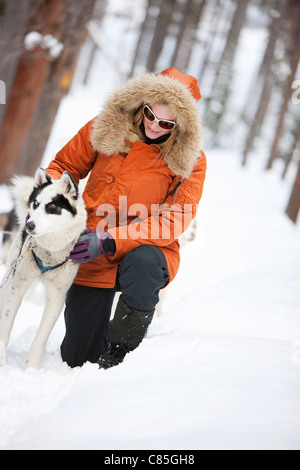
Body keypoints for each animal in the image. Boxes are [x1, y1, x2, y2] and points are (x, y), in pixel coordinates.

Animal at [0, 169, 86, 370]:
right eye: (36, 204)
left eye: (52, 206)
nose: (29, 225)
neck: (50, 252)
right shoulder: (17, 287)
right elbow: (6, 328)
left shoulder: (57, 297)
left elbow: (40, 339)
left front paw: (31, 369)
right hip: (12, 273)